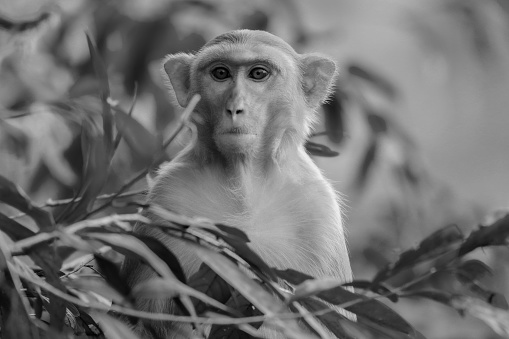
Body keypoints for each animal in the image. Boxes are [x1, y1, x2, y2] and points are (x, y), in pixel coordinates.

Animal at [122, 29, 354, 339]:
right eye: (221, 73)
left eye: (258, 74)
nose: (234, 108)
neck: (243, 180)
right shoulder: (167, 197)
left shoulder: (318, 212)